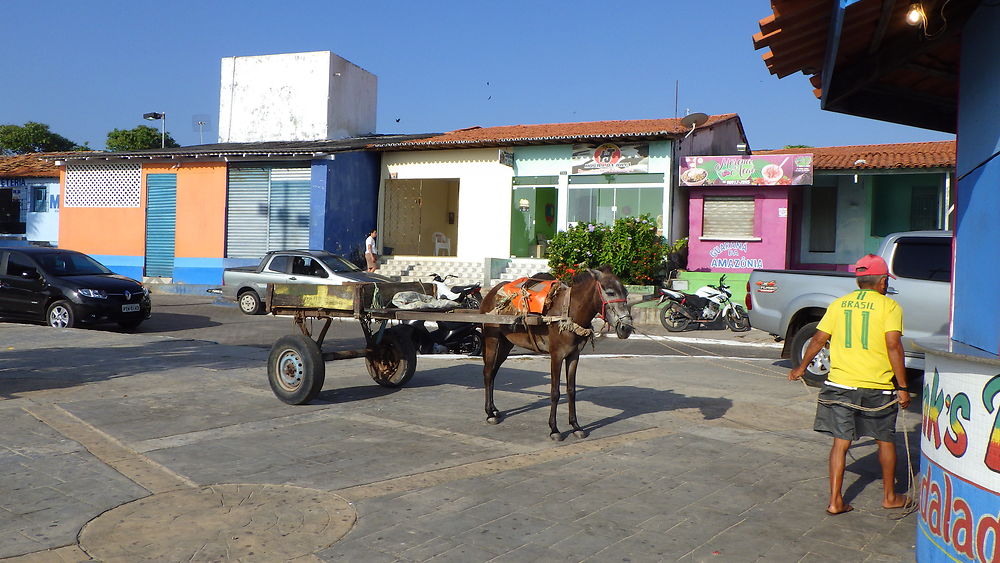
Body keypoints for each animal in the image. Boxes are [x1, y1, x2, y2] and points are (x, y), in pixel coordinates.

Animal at [478, 268, 632, 440]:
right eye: (610, 292)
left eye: (626, 293)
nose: (626, 328)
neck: (569, 313)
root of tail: (491, 293)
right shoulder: (556, 356)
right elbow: (555, 392)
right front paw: (554, 429)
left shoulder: (574, 356)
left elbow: (571, 391)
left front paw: (576, 426)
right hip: (492, 340)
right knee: (488, 372)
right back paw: (490, 413)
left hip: (505, 344)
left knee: (493, 372)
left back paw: (494, 409)